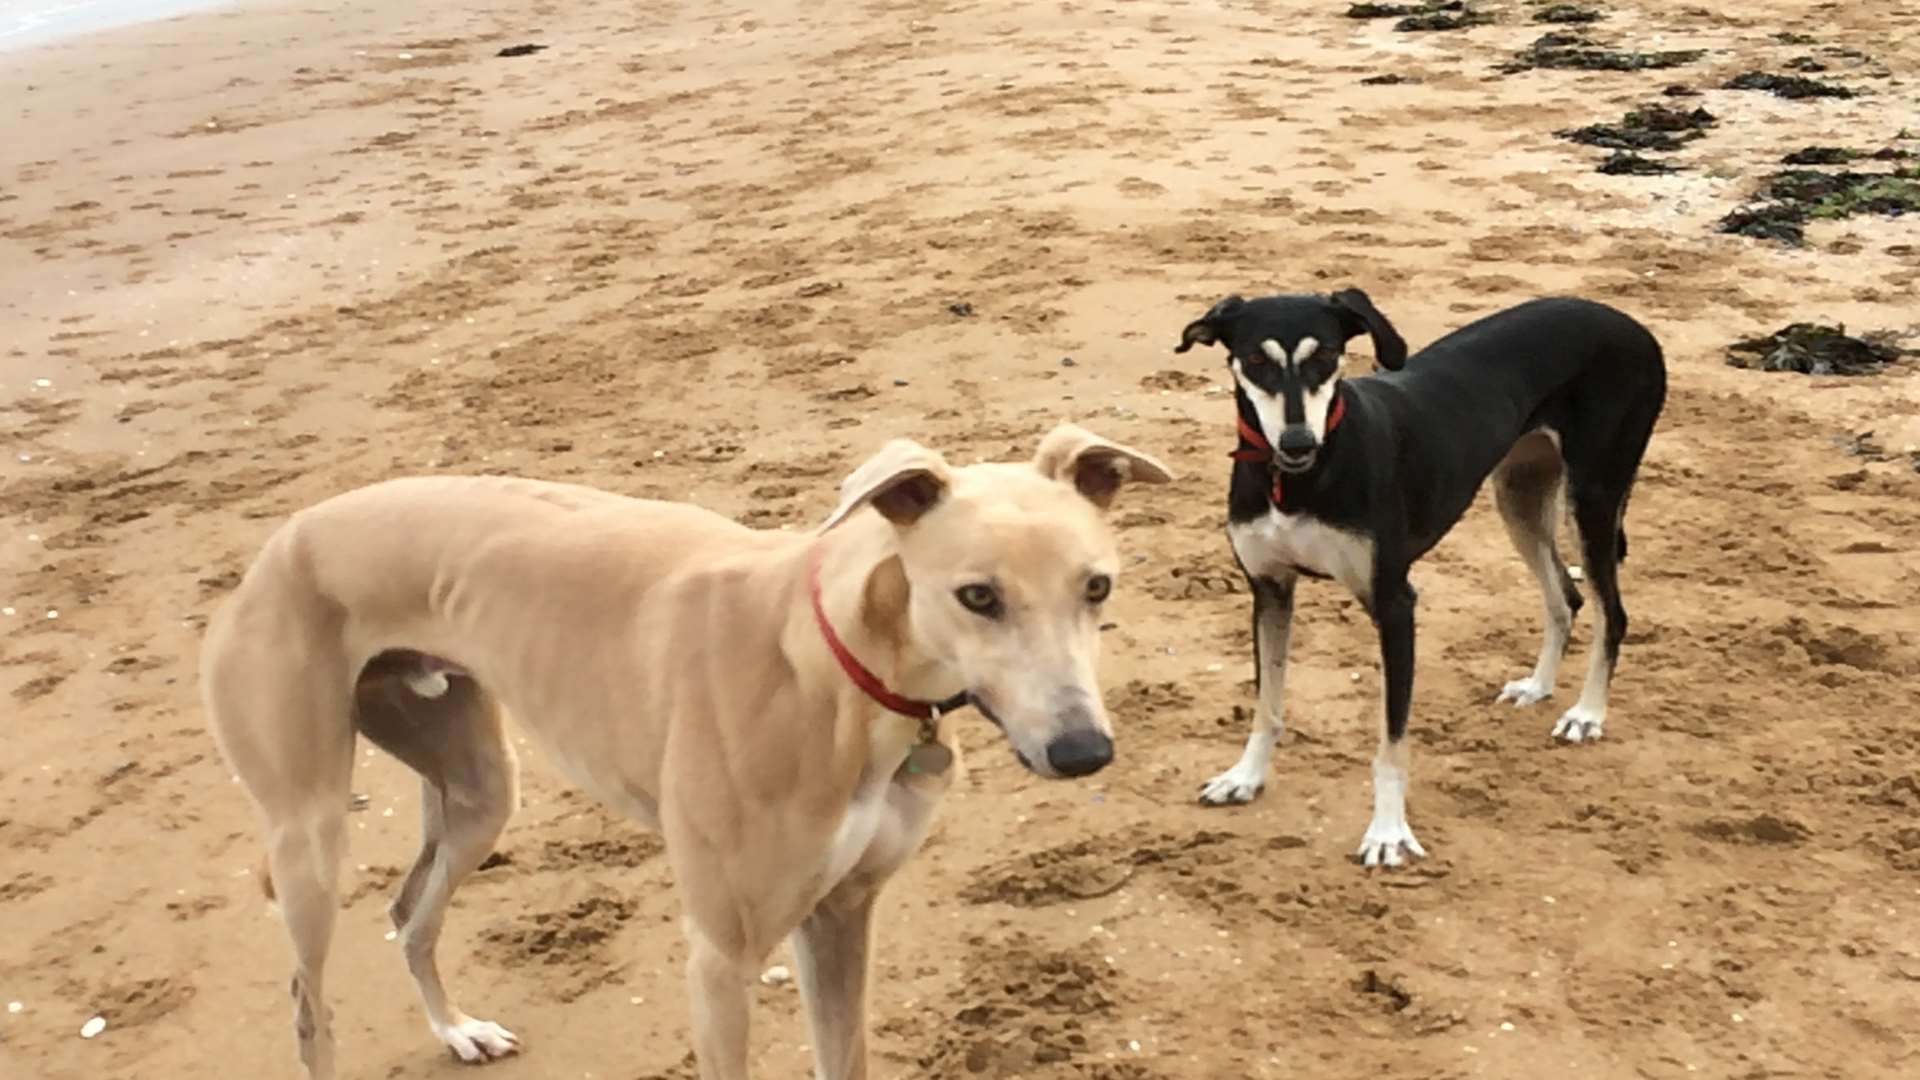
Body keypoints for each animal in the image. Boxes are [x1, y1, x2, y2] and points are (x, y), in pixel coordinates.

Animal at [206, 422, 1167, 1076]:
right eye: (977, 596)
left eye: (1097, 587)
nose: (1083, 751)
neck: (837, 664)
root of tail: (278, 543)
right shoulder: (723, 956)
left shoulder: (841, 914)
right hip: (308, 834)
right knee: (308, 1001)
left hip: (477, 787)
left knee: (410, 912)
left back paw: (457, 1029)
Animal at [1159, 288, 1674, 864]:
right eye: (1255, 360)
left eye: (1326, 356)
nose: (1296, 442)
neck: (1299, 480)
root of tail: (1629, 323)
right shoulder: (1270, 590)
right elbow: (1266, 705)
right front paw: (1245, 776)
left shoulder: (1394, 604)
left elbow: (1392, 742)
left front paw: (1387, 832)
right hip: (1518, 493)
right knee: (1565, 597)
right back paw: (1538, 686)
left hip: (1593, 497)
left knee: (1613, 613)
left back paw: (1587, 713)